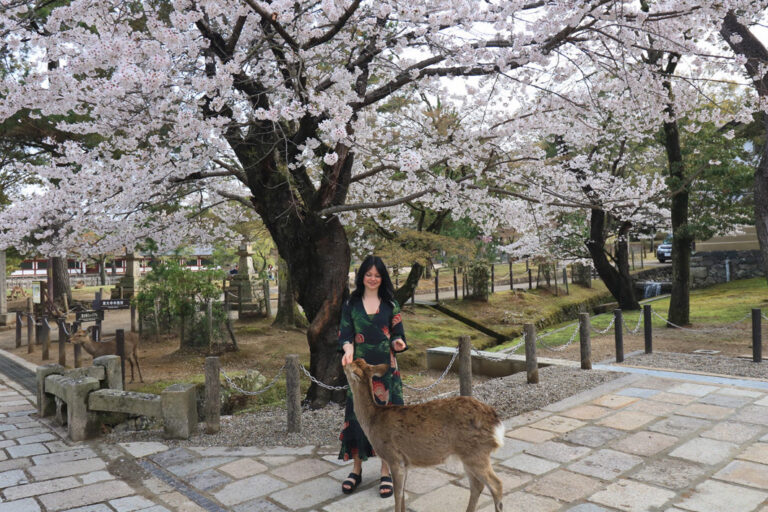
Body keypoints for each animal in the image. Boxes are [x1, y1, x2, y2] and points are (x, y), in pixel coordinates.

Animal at [344, 360, 504, 512]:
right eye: (357, 360)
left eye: (349, 365)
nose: (343, 363)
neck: (372, 421)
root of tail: (496, 422)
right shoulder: (405, 463)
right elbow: (403, 494)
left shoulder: (394, 458)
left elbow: (397, 494)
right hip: (468, 454)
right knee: (477, 485)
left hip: (476, 452)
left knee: (496, 485)